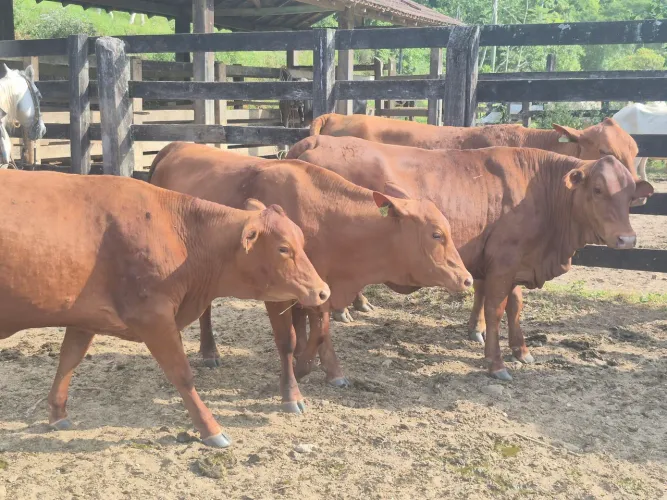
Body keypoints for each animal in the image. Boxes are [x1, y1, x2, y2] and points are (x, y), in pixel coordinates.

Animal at [0, 169, 329, 448]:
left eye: (301, 241)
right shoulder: (153, 317)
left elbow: (68, 360)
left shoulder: (83, 318)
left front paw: (57, 415)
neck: (180, 234)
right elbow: (182, 374)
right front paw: (211, 429)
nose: (323, 291)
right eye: (283, 248)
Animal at [149, 142, 473, 406]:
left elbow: (319, 331)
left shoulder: (320, 287)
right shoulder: (279, 294)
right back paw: (209, 351)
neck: (323, 217)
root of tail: (174, 147)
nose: (467, 278)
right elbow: (288, 340)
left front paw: (319, 367)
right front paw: (292, 387)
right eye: (436, 234)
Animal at [287, 135, 654, 380]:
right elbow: (495, 310)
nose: (627, 239)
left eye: (630, 194)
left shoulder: (514, 262)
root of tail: (313, 141)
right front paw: (496, 362)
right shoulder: (503, 264)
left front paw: (522, 350)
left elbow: (515, 307)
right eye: (597, 190)